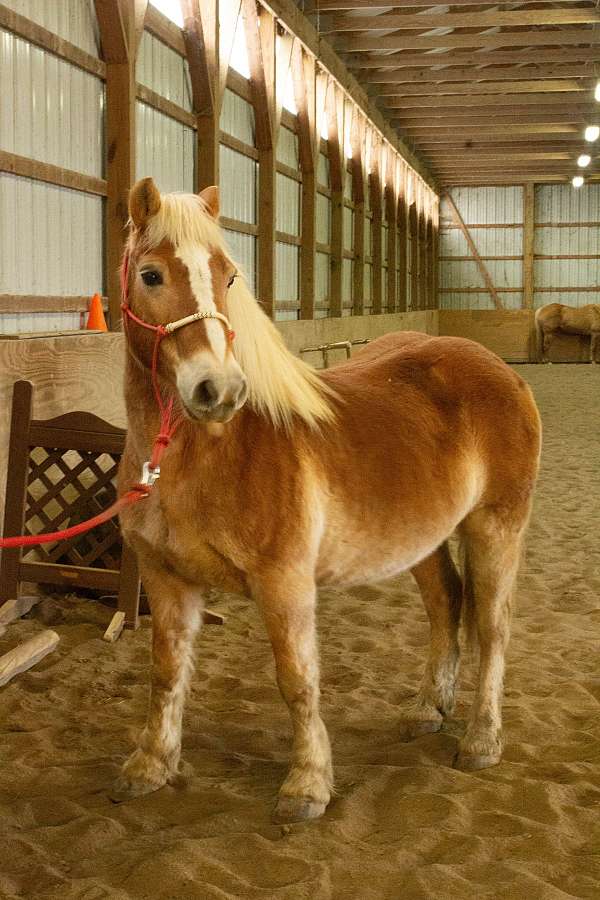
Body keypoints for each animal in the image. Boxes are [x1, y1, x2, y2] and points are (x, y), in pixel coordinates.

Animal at [113, 176, 544, 824]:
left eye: (229, 275)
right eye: (151, 274)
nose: (220, 390)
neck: (215, 451)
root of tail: (502, 371)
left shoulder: (285, 585)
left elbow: (298, 680)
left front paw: (307, 786)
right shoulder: (166, 580)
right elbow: (165, 674)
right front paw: (151, 767)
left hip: (496, 527)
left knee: (492, 627)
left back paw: (481, 741)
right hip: (422, 541)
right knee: (446, 603)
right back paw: (428, 708)